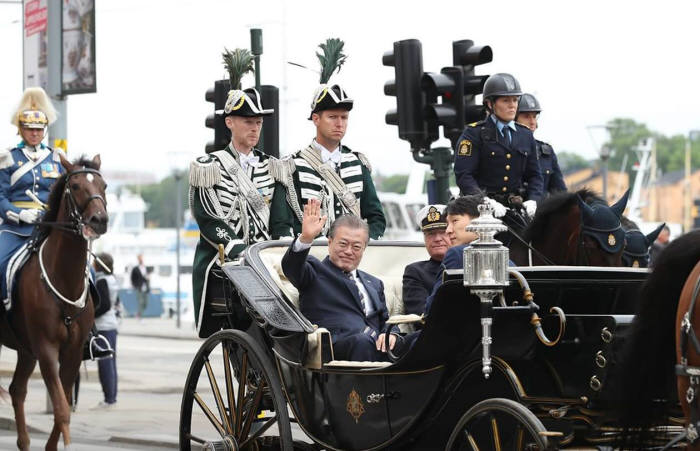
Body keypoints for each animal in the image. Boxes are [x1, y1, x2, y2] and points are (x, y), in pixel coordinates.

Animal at [0, 154, 108, 450]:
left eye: (104, 185)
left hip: (25, 349)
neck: (63, 277)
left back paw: (24, 442)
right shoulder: (47, 349)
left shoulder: (72, 351)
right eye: (75, 186)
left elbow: (65, 404)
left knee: (17, 390)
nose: (99, 220)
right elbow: (60, 408)